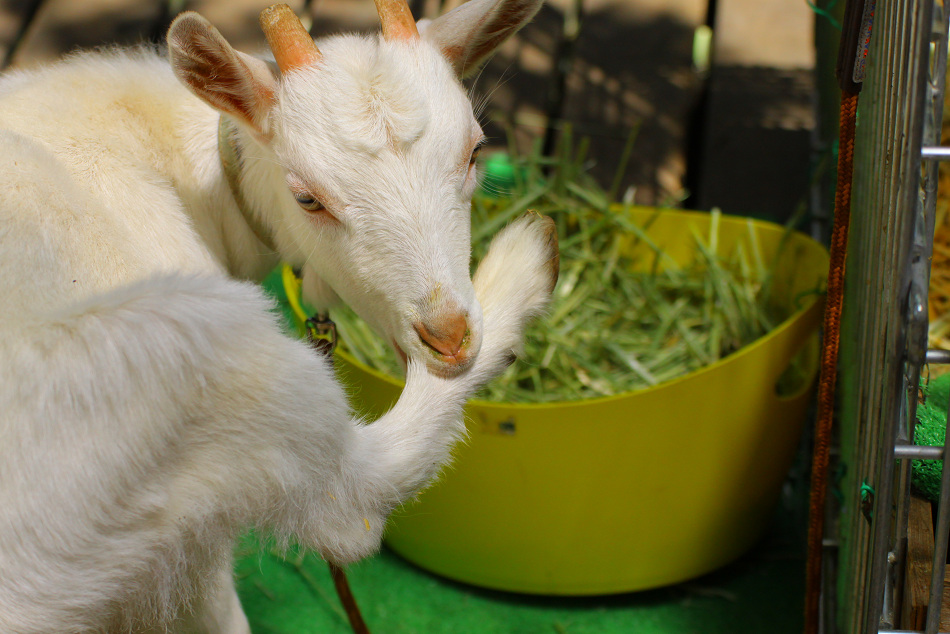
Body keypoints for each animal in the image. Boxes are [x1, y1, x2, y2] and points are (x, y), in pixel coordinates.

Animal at [0, 1, 557, 631]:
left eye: (475, 152)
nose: (449, 337)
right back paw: (523, 262)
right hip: (196, 349)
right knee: (353, 501)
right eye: (307, 198)